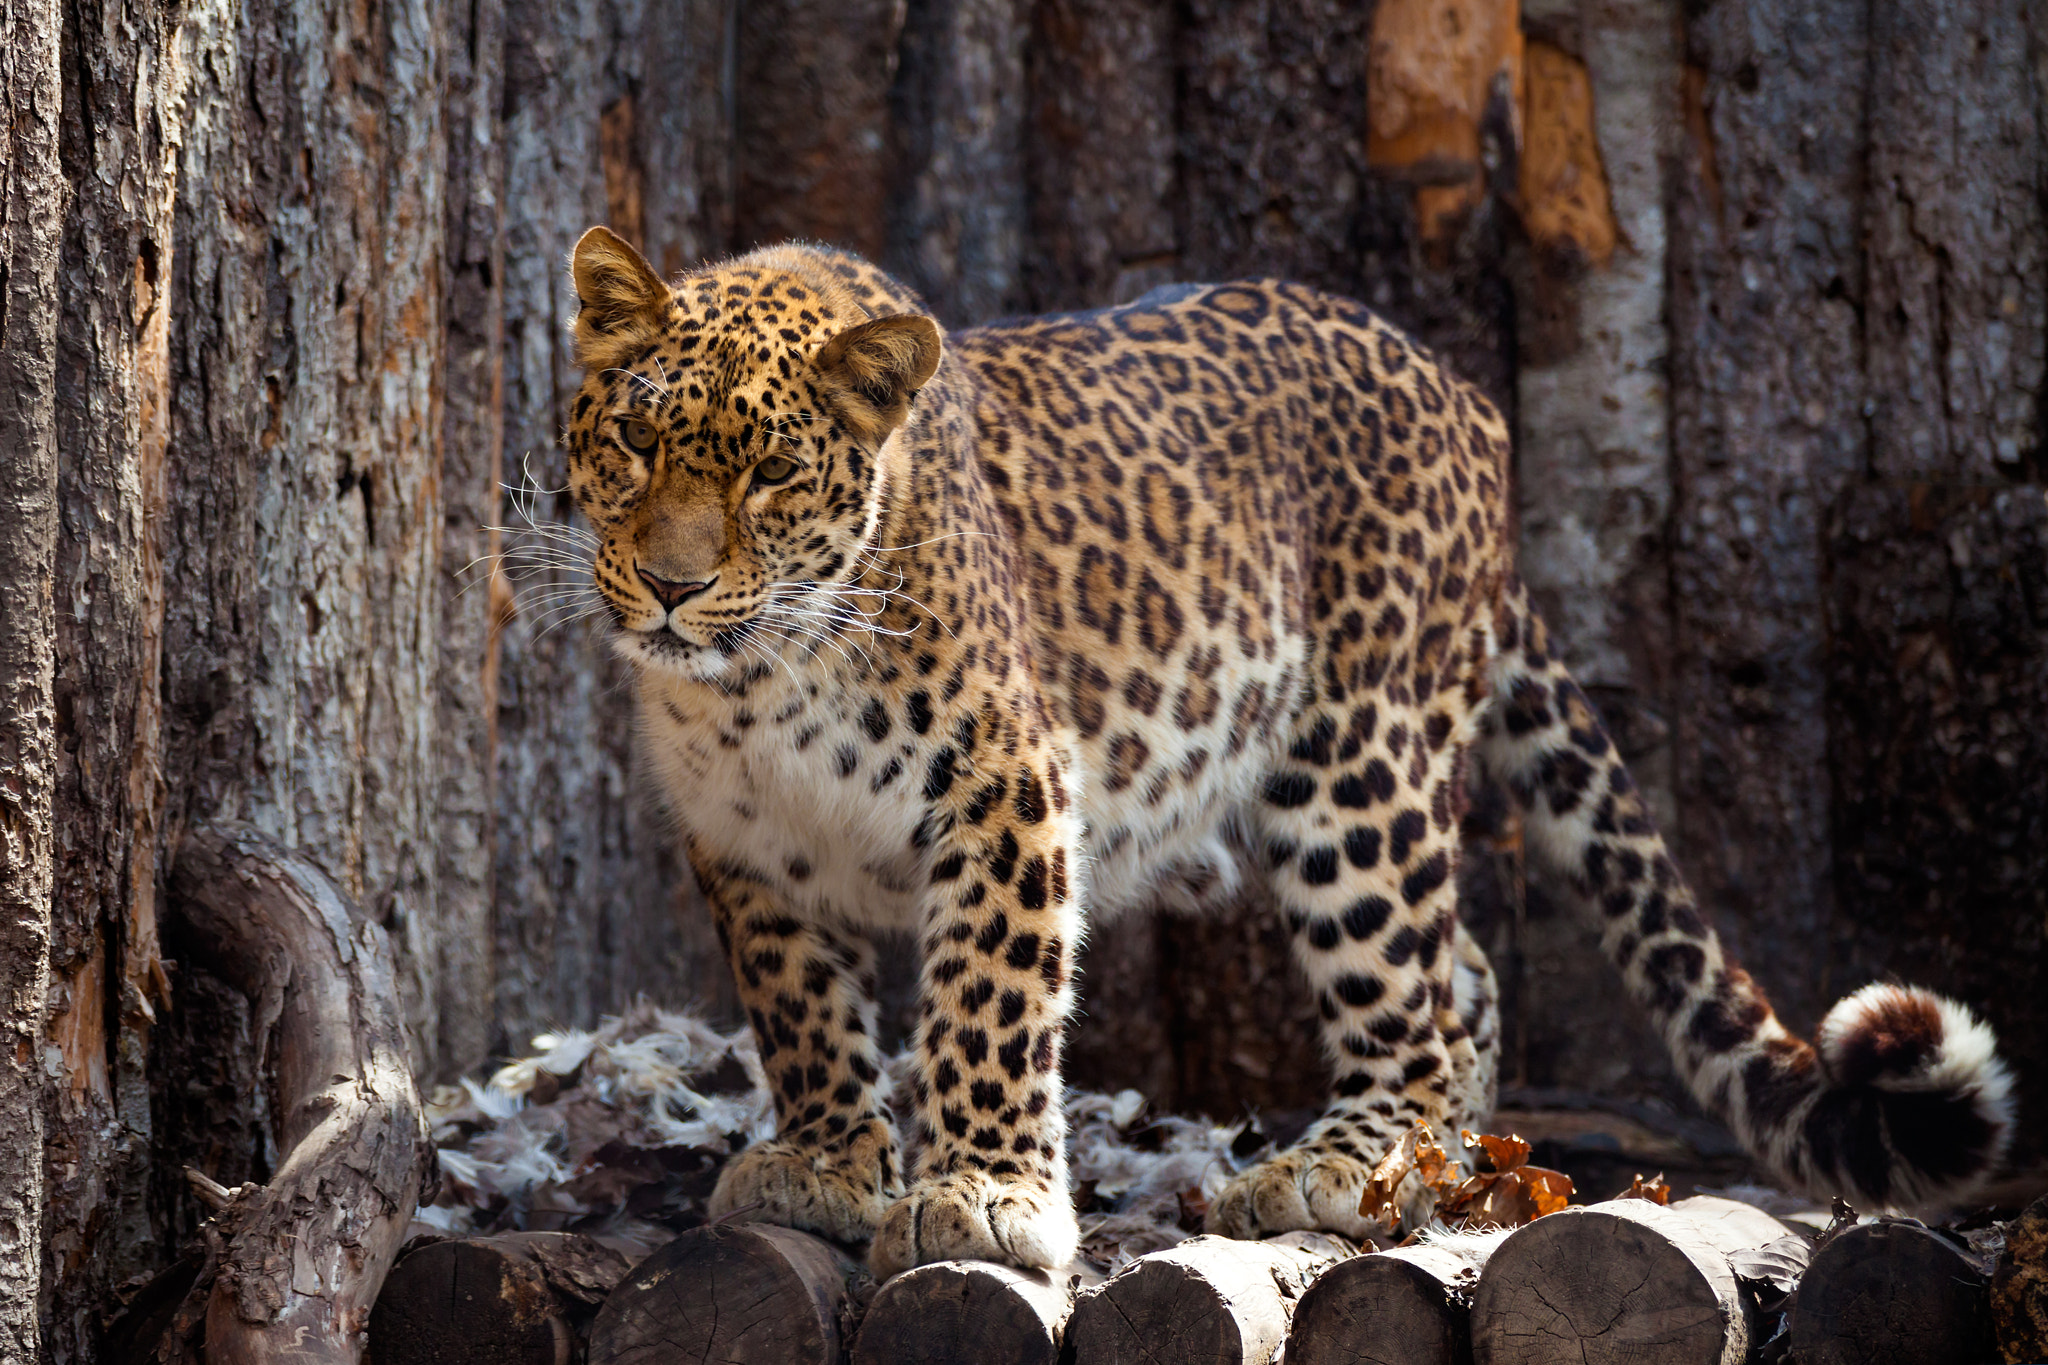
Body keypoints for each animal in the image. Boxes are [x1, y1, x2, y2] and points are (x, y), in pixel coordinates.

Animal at [561, 224, 2015, 1285]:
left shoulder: (1005, 788)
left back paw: (1349, 1166)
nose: (674, 588)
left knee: (1416, 997)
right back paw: (1443, 1169)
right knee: (1464, 971)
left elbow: (989, 995)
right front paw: (823, 1162)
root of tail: (1466, 401)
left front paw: (981, 1192)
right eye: (633, 440)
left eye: (770, 474)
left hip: (1357, 764)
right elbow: (800, 1013)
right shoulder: (749, 842)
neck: (759, 687)